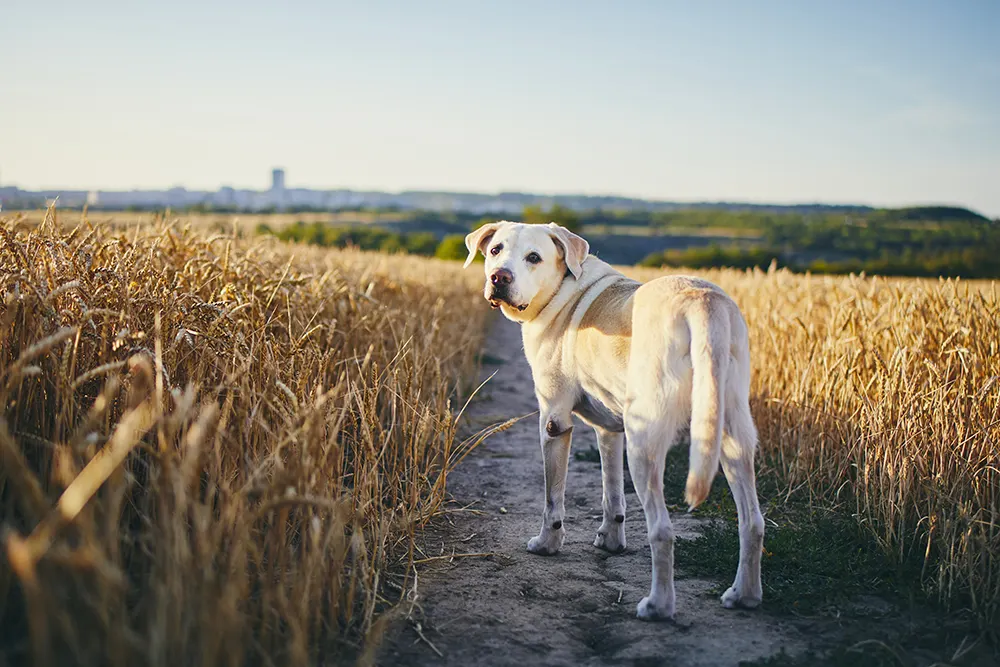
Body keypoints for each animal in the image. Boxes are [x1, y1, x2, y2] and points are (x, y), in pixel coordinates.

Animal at [462, 220, 764, 620]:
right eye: (495, 250)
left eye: (534, 257)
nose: (499, 277)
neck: (562, 289)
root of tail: (702, 302)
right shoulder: (609, 430)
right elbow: (612, 494)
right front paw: (611, 540)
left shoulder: (554, 421)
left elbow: (552, 499)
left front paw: (547, 544)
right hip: (731, 436)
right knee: (752, 522)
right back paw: (744, 595)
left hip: (643, 444)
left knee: (662, 531)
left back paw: (658, 606)